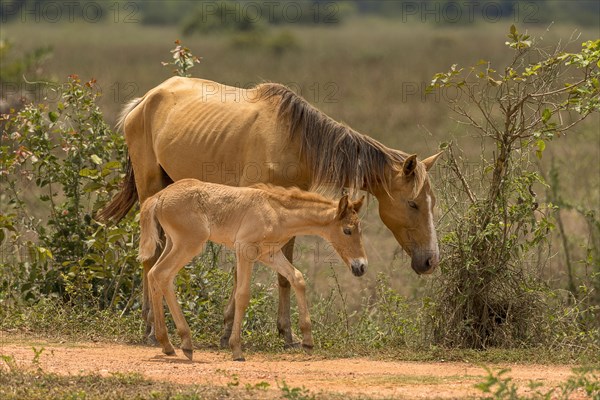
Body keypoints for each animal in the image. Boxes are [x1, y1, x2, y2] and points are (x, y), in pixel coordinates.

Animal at [140, 180, 366, 360]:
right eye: (347, 230)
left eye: (360, 229)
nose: (361, 266)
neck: (276, 212)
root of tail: (160, 196)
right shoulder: (245, 251)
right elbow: (242, 295)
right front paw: (236, 349)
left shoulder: (270, 254)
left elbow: (297, 278)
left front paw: (308, 341)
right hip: (189, 244)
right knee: (161, 274)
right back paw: (182, 343)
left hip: (172, 243)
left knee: (156, 275)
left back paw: (169, 344)